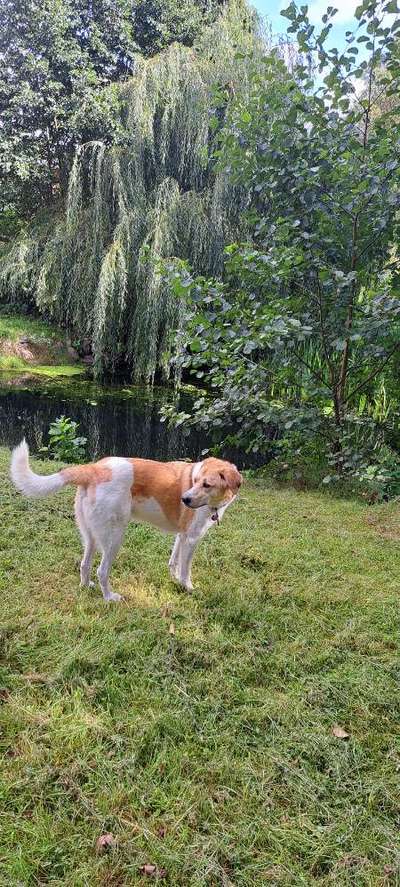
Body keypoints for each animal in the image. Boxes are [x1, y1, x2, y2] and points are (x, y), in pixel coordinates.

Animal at [10, 444, 242, 604]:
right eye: (196, 482)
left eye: (206, 484)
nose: (184, 499)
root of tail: (93, 469)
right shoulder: (192, 538)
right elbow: (186, 569)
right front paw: (188, 588)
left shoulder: (182, 536)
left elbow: (174, 562)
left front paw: (174, 579)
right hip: (115, 538)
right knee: (101, 571)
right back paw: (109, 597)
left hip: (91, 536)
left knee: (85, 564)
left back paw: (86, 587)